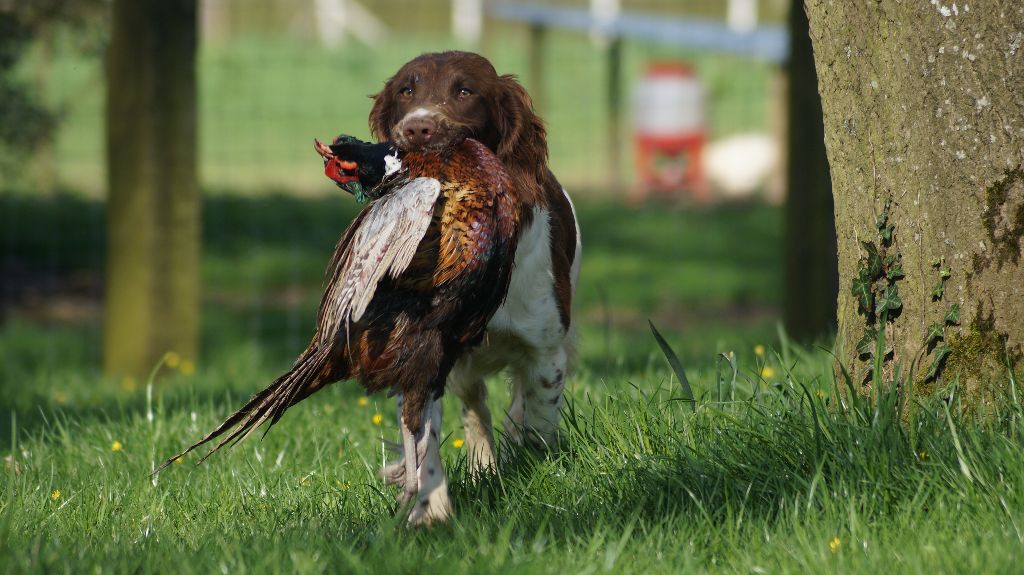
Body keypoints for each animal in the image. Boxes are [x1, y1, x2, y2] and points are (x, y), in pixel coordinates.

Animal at [370, 51, 585, 505]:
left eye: (465, 91)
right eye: (406, 90)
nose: (417, 127)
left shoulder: (546, 350)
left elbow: (536, 423)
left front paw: (529, 465)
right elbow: (424, 437)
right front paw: (431, 502)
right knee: (475, 407)